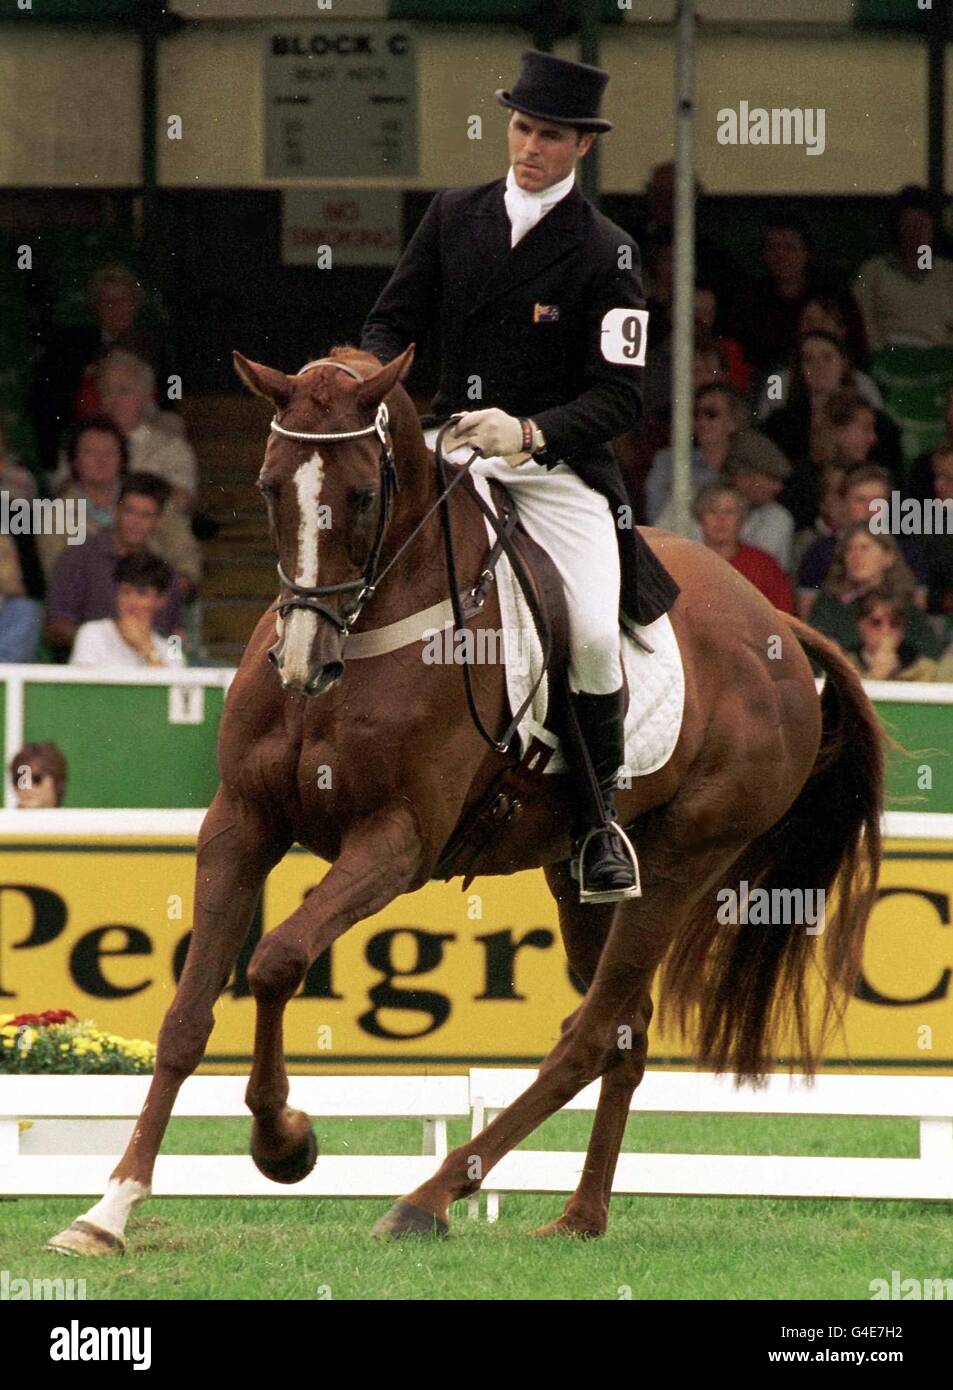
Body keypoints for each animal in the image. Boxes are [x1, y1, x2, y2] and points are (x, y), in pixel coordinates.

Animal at [50, 341, 889, 1256]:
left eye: (363, 495)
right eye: (270, 487)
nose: (302, 661)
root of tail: (778, 624)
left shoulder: (397, 842)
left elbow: (276, 961)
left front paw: (285, 1143)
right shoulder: (240, 823)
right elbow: (186, 1016)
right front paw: (109, 1210)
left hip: (682, 861)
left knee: (587, 1035)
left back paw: (428, 1197)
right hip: (579, 875)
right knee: (621, 1033)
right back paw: (578, 1216)